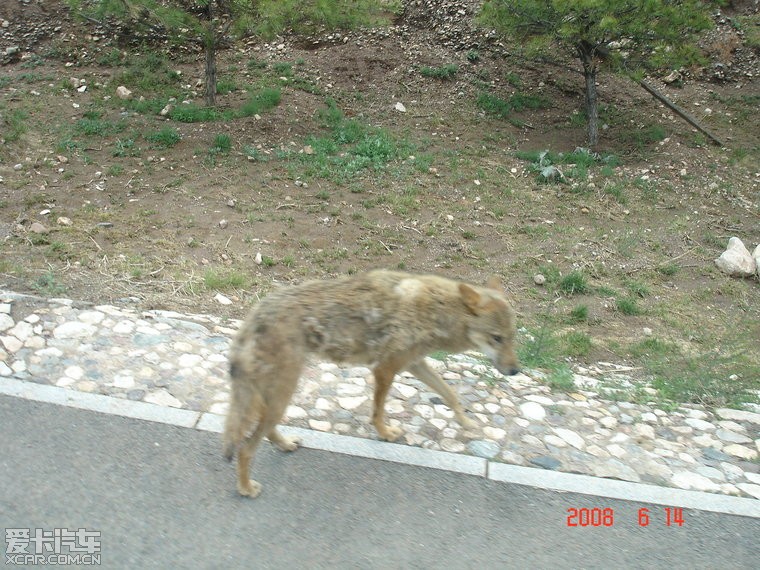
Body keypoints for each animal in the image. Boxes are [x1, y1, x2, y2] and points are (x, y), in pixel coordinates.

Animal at [223, 268, 520, 494]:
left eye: (512, 337)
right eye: (496, 338)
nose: (516, 370)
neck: (438, 310)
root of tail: (256, 312)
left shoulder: (415, 364)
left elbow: (450, 394)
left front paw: (467, 423)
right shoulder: (385, 369)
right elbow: (378, 411)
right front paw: (385, 434)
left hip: (276, 395)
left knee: (261, 430)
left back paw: (284, 445)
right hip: (282, 394)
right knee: (245, 448)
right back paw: (246, 488)